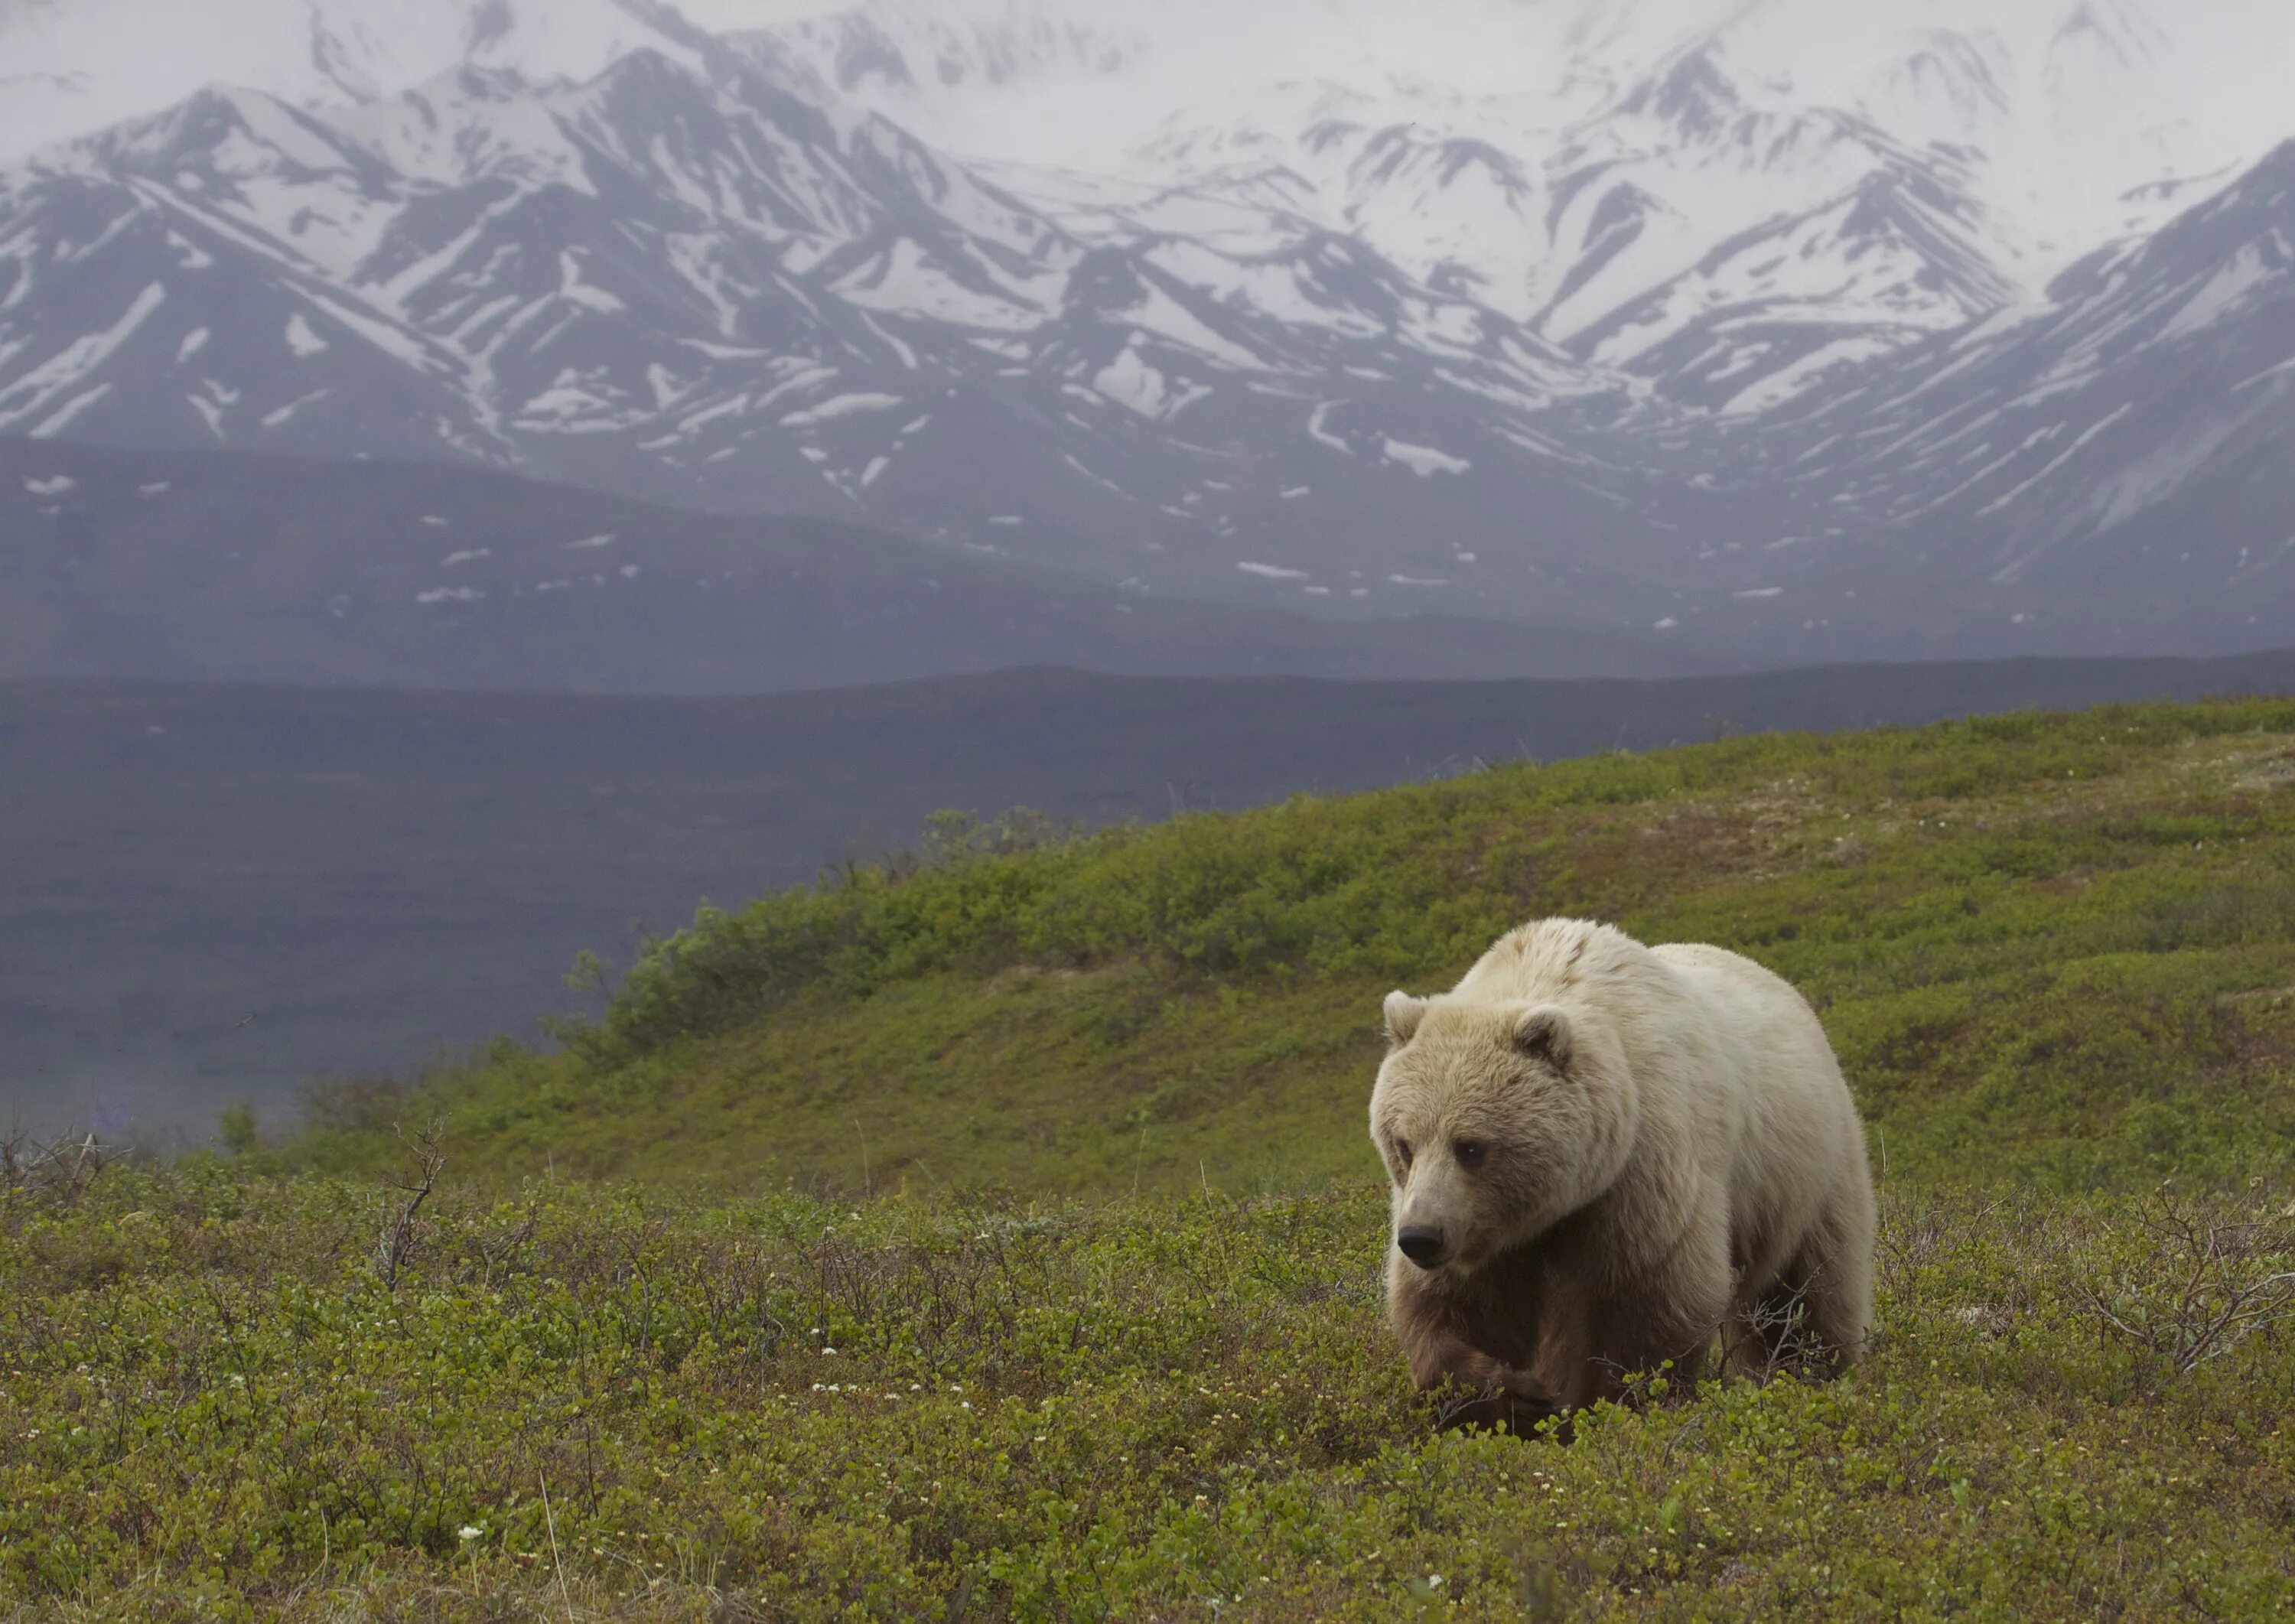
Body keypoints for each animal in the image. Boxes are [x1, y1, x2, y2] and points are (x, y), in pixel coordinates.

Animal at [1368, 922, 1873, 1431]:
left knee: (1804, 1296)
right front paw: (1510, 1395)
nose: (1420, 1237)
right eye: (1404, 1143)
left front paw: (1602, 1407)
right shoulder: (1484, 1229)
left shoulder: (1643, 1171)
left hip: (1805, 1174)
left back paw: (1814, 1373)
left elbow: (1650, 1301)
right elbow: (1460, 1307)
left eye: (1470, 1147)